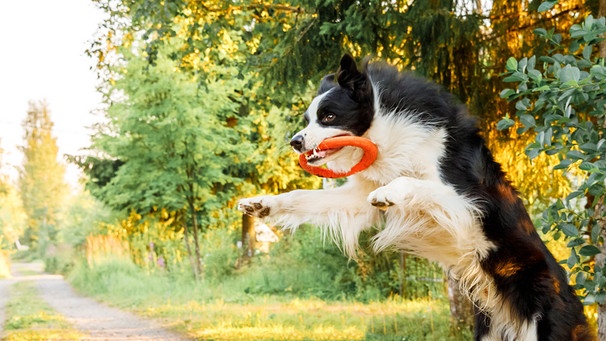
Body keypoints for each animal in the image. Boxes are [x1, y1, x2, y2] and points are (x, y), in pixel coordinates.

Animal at [239, 54, 592, 338]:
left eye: (328, 117)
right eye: (308, 119)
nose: (295, 142)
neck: (383, 130)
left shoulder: (467, 202)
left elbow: (411, 182)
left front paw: (388, 192)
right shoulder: (357, 200)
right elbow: (302, 196)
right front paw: (262, 203)